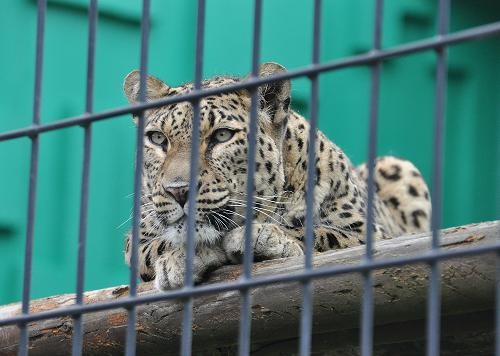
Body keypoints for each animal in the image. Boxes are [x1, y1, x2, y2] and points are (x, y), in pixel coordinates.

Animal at [123, 61, 432, 290]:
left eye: (222, 135)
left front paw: (262, 237)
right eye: (157, 139)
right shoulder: (136, 239)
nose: (177, 190)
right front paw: (180, 258)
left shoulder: (374, 232)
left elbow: (326, 234)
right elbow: (157, 246)